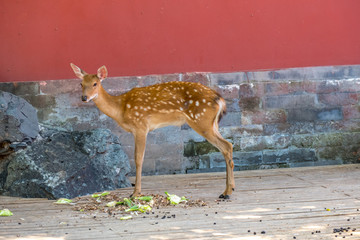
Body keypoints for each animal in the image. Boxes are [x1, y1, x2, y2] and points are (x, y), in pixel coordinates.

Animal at [70, 63, 235, 199]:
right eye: (81, 83)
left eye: (95, 83)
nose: (84, 97)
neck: (121, 109)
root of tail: (220, 100)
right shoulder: (136, 130)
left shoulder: (141, 126)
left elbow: (138, 159)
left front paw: (135, 193)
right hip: (212, 124)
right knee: (228, 146)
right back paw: (228, 190)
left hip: (201, 121)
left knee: (226, 146)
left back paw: (227, 192)